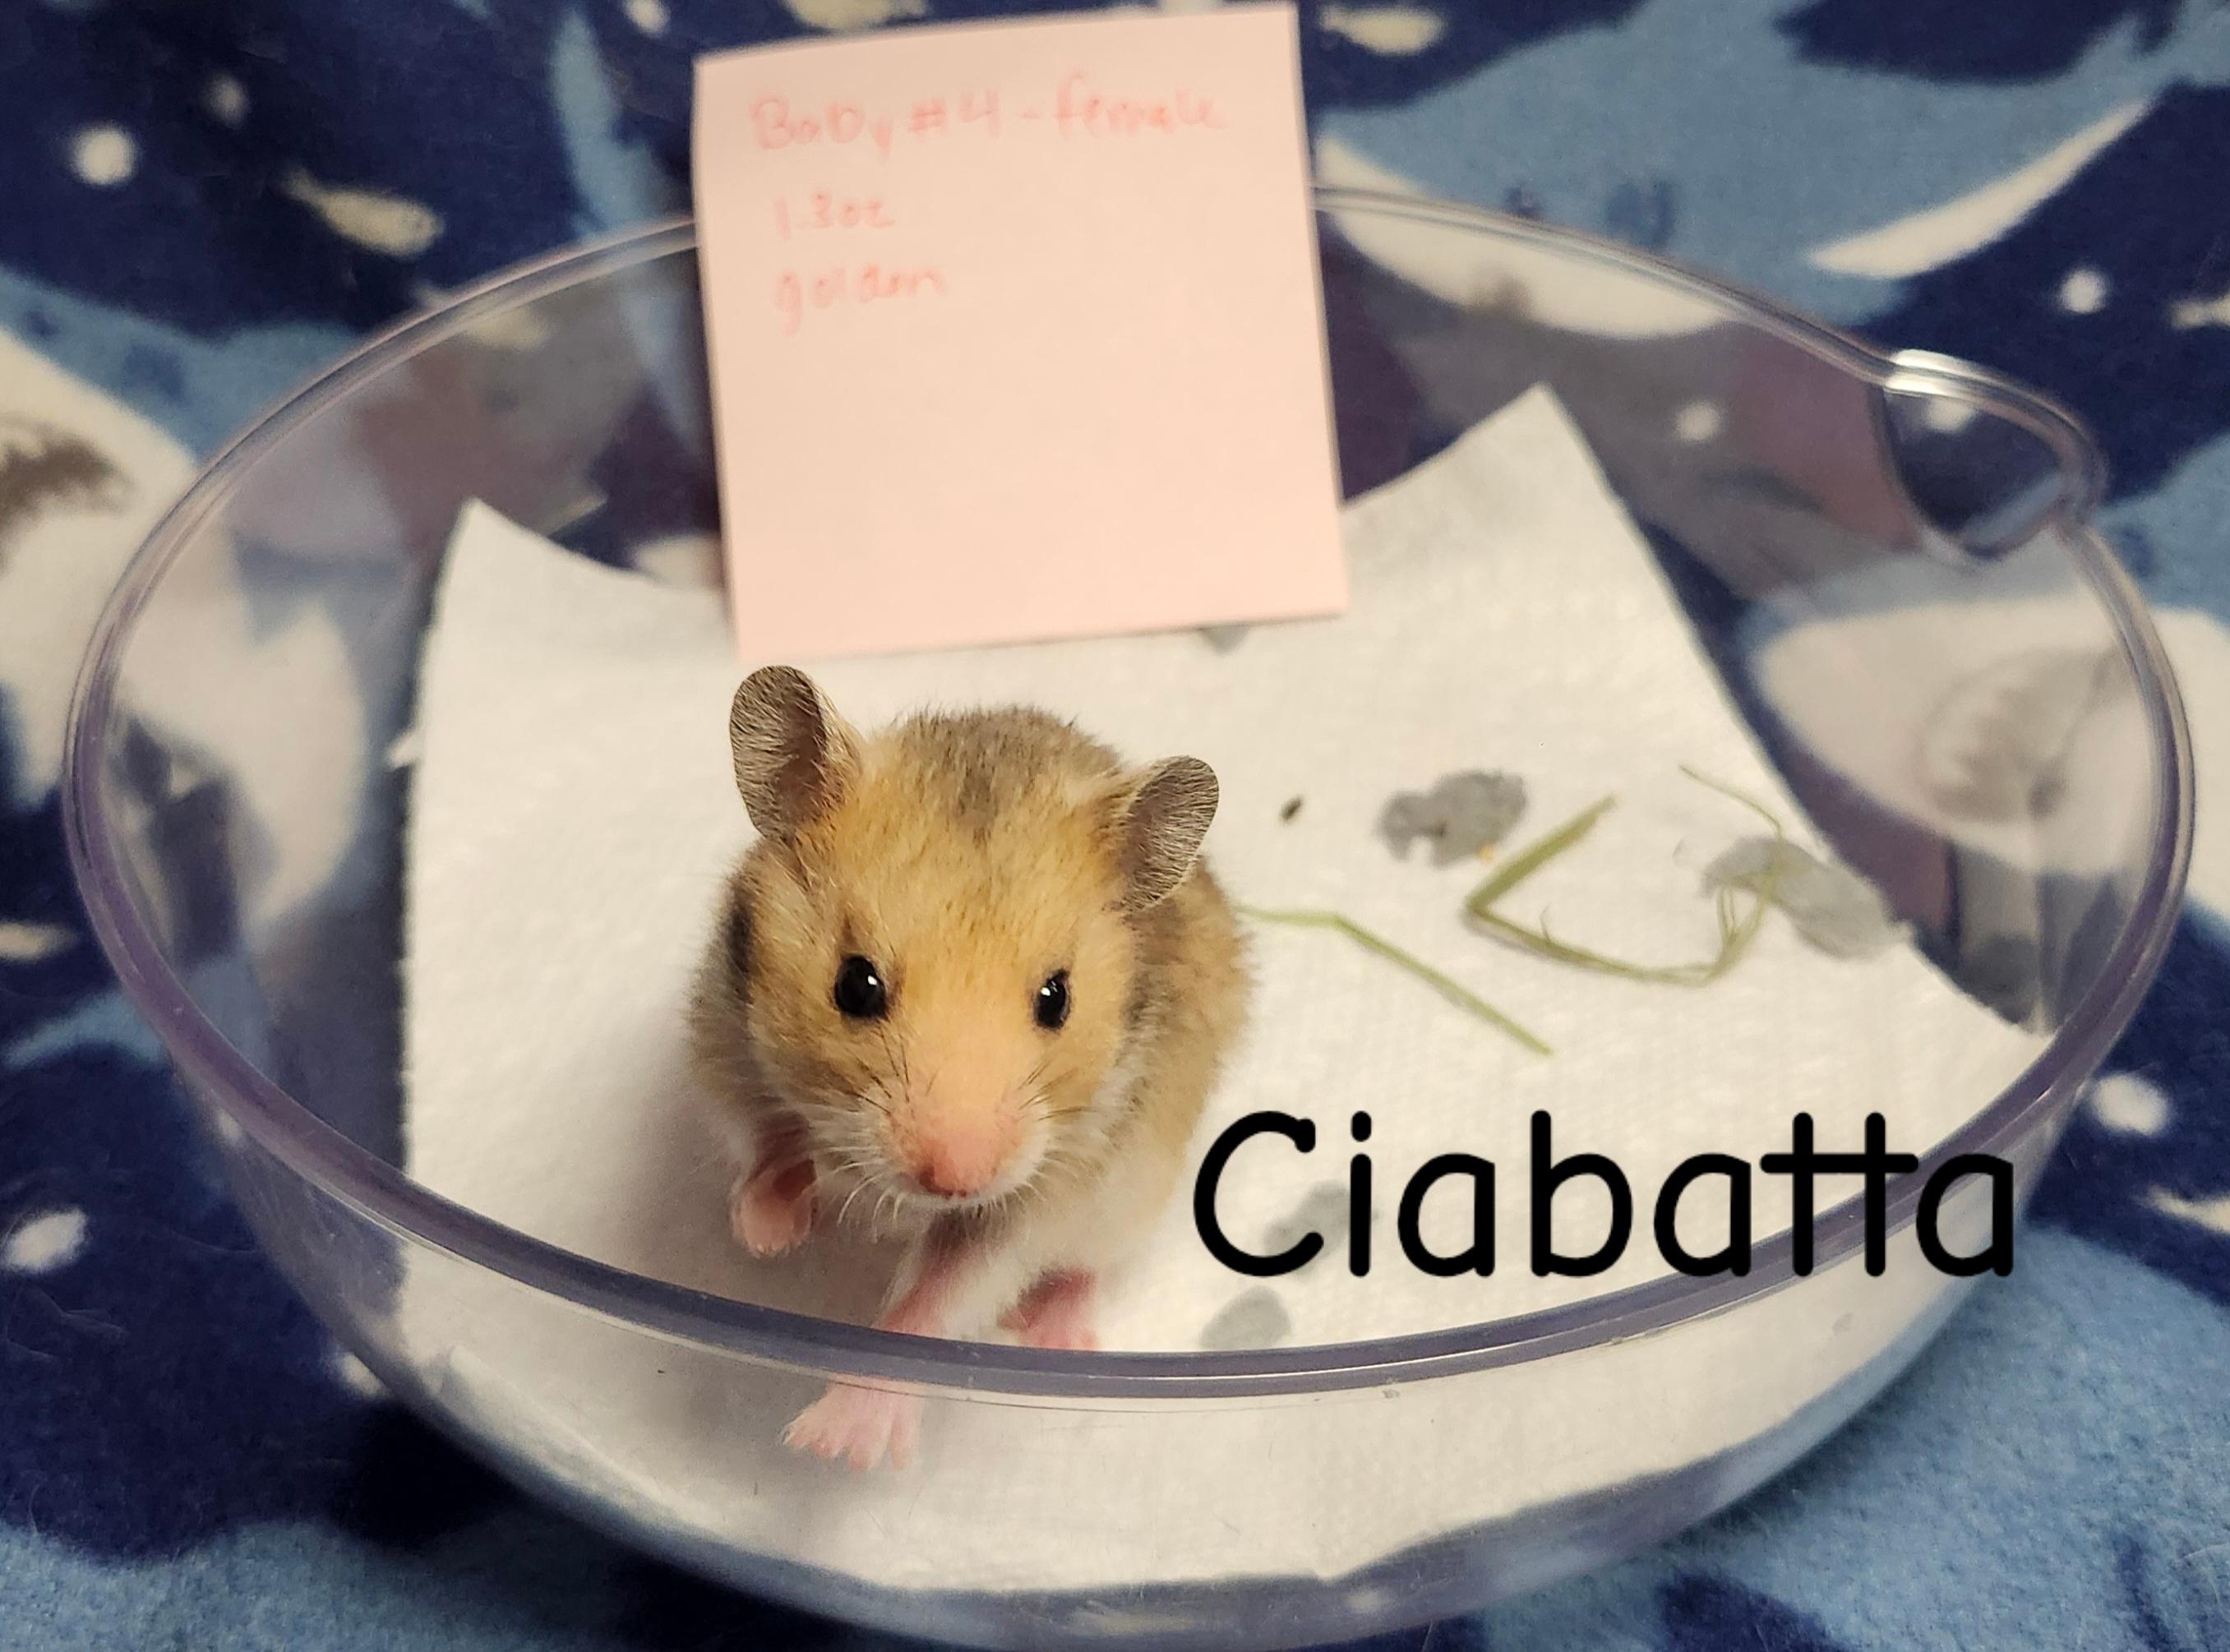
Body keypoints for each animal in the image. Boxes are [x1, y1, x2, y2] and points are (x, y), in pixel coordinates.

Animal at [689, 666, 1249, 1470]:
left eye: (1056, 998)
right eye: (854, 985)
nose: (954, 1179)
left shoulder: (1025, 1204)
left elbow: (935, 1300)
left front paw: (838, 1447)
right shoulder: (721, 1040)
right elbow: (763, 1135)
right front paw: (772, 1233)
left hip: (1132, 1196)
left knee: (1082, 1268)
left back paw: (1056, 1338)